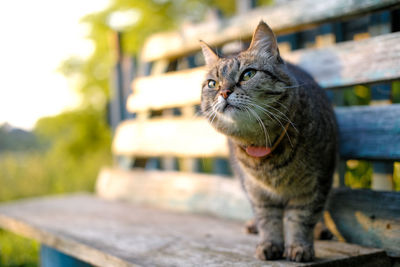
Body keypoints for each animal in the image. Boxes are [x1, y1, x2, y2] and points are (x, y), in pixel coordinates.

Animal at [200, 21, 338, 264]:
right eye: (212, 83)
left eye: (248, 74)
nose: (224, 92)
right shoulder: (257, 191)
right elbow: (268, 219)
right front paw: (270, 244)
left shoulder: (316, 184)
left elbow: (301, 218)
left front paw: (299, 247)